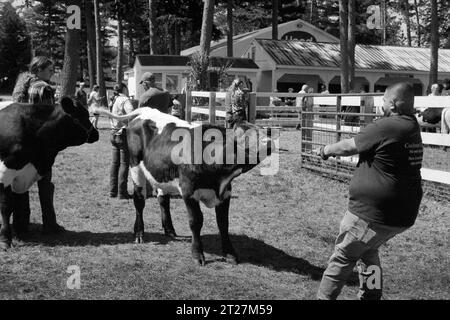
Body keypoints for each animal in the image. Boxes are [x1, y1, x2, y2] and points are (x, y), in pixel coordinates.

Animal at [0, 97, 99, 250]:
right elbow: (6, 206)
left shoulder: (24, 174)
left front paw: (20, 232)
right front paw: (5, 239)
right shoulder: (4, 173)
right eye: (83, 115)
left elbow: (21, 202)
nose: (95, 134)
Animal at [96, 107, 276, 264]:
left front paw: (230, 253)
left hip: (162, 174)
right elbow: (195, 221)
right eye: (246, 133)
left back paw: (169, 229)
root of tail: (146, 110)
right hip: (135, 166)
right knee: (139, 201)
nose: (270, 136)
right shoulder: (188, 192)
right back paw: (139, 234)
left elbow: (223, 223)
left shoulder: (225, 193)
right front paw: (197, 254)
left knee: (163, 200)